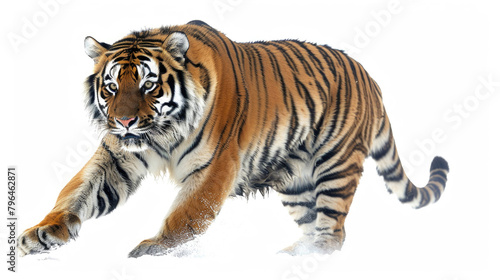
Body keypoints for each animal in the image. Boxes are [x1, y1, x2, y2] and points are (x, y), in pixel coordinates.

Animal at [18, 19, 450, 258]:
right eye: (110, 87)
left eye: (148, 85)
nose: (123, 122)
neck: (160, 133)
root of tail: (369, 77)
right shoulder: (117, 157)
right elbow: (77, 192)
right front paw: (41, 234)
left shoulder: (215, 165)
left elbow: (187, 214)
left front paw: (155, 250)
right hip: (297, 183)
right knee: (311, 223)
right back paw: (294, 255)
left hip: (336, 166)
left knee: (334, 230)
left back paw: (313, 257)